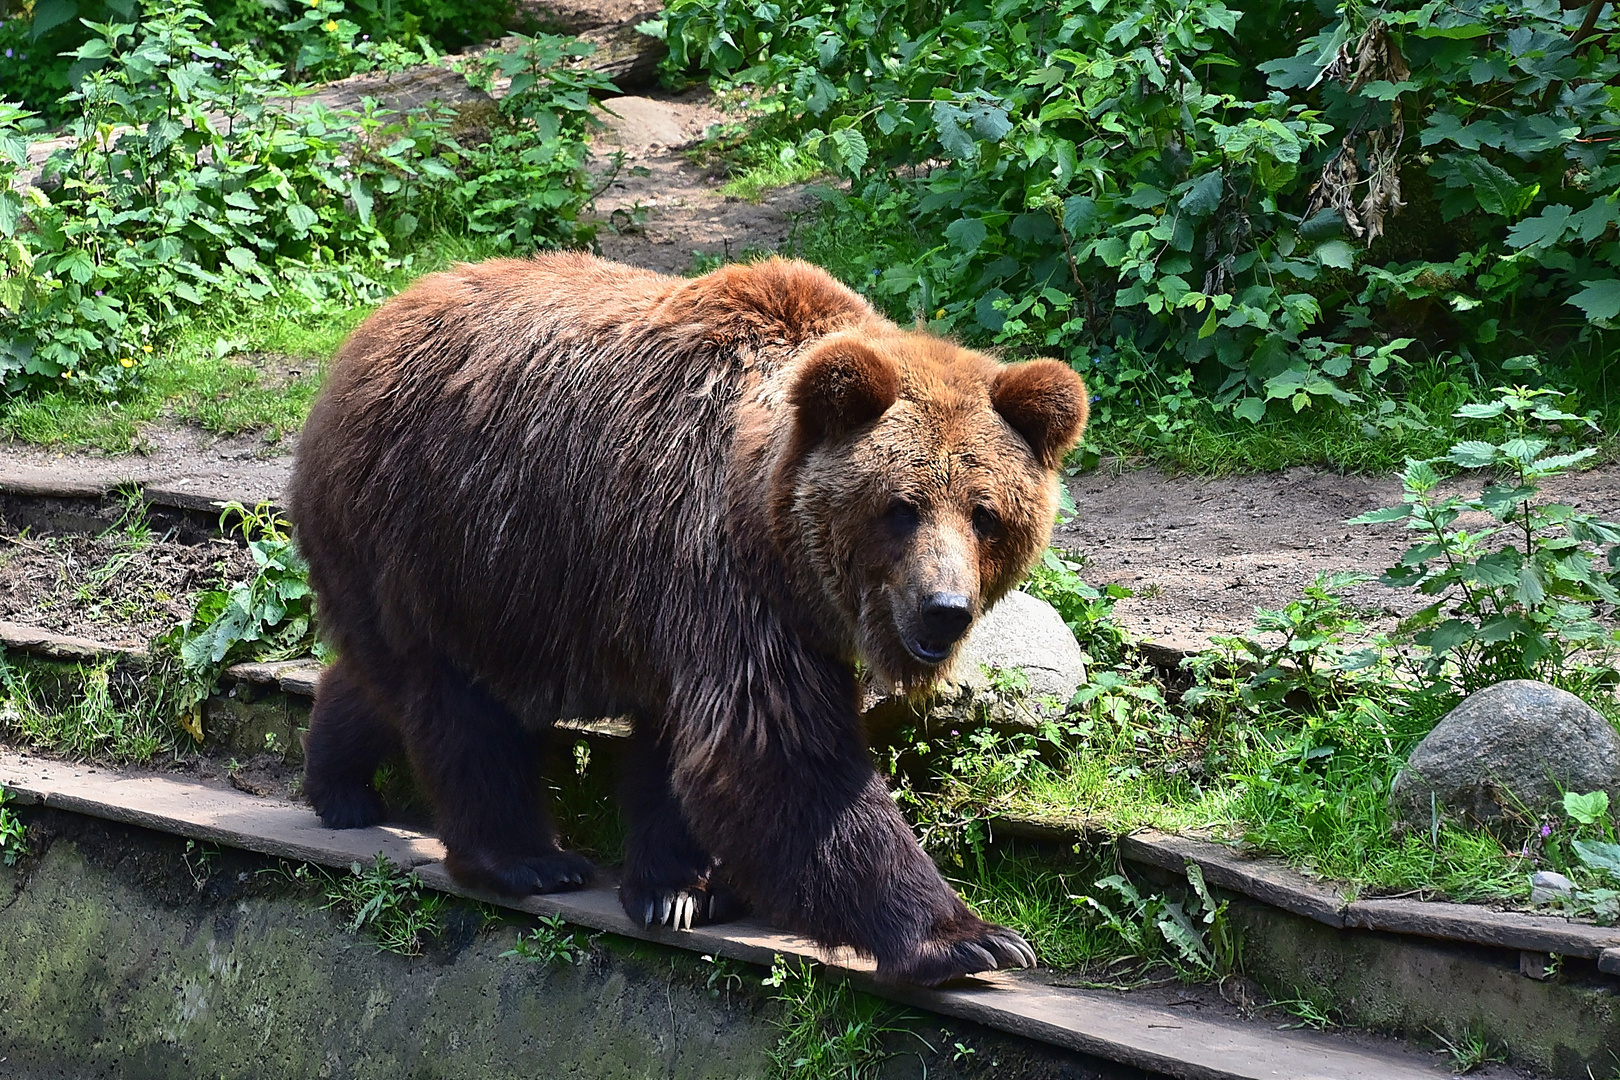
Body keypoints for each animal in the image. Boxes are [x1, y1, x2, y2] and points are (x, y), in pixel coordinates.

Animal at [291, 255, 1088, 990]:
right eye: (902, 506)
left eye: (985, 514)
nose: (943, 610)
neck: (769, 529)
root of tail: (368, 331)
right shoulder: (712, 572)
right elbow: (780, 754)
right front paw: (972, 939)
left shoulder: (726, 606)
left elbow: (683, 744)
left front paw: (682, 887)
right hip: (432, 538)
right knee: (457, 707)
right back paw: (526, 859)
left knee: (383, 682)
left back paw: (339, 782)